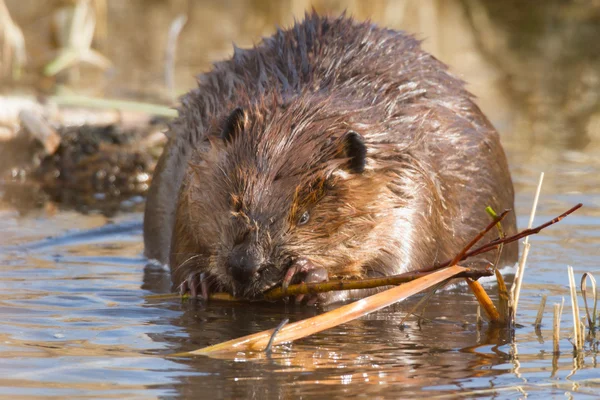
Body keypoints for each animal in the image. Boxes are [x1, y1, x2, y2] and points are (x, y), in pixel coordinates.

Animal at [143, 13, 516, 304]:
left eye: (305, 217)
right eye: (234, 202)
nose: (246, 265)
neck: (299, 123)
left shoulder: (413, 187)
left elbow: (399, 269)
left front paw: (312, 276)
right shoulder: (192, 168)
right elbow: (181, 248)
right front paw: (198, 281)